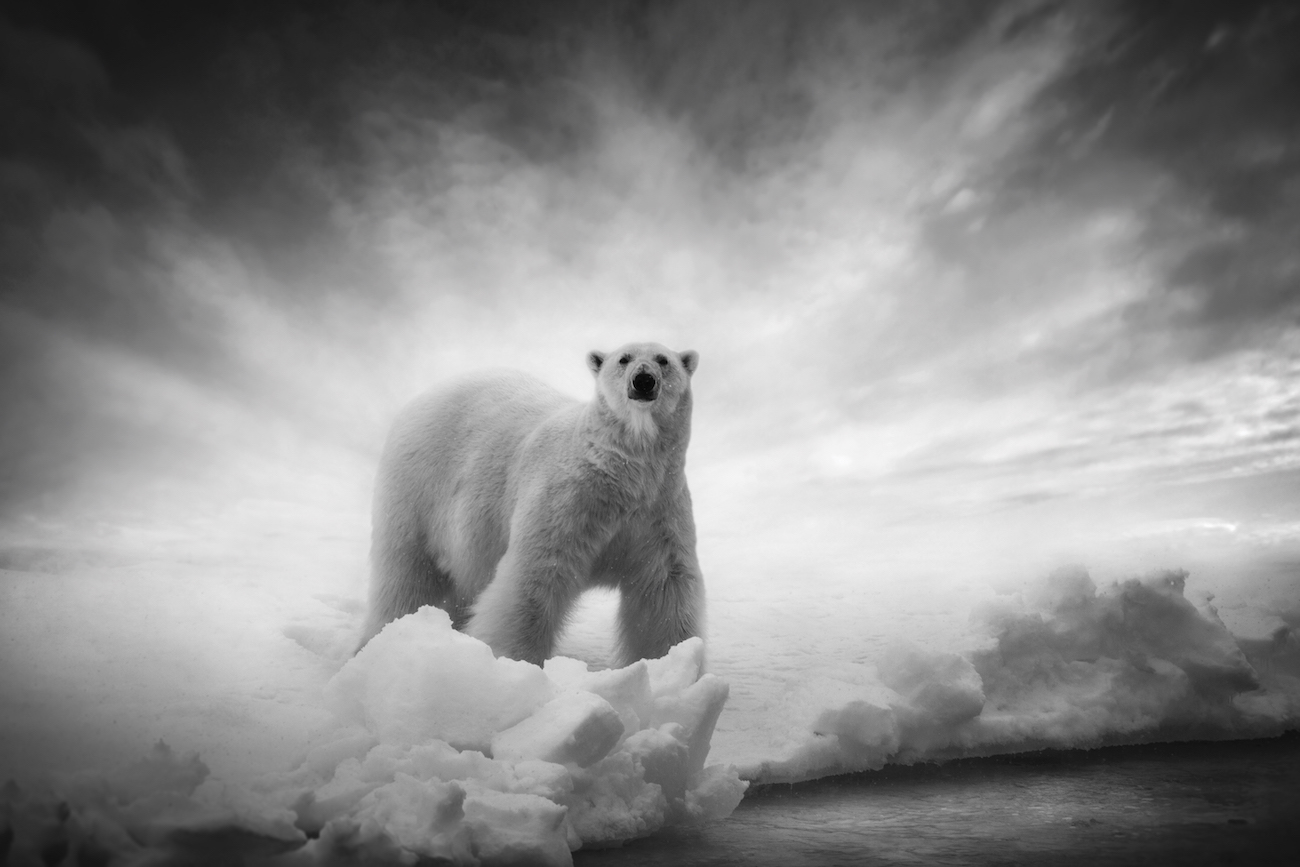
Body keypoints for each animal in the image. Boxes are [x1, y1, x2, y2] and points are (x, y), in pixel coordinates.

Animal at [358, 342, 705, 667]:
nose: (643, 380)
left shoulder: (657, 509)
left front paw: (674, 662)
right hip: (419, 490)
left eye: (663, 360)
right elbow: (535, 576)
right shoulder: (568, 500)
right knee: (407, 575)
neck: (621, 473)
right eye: (624, 358)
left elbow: (663, 588)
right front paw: (515, 663)